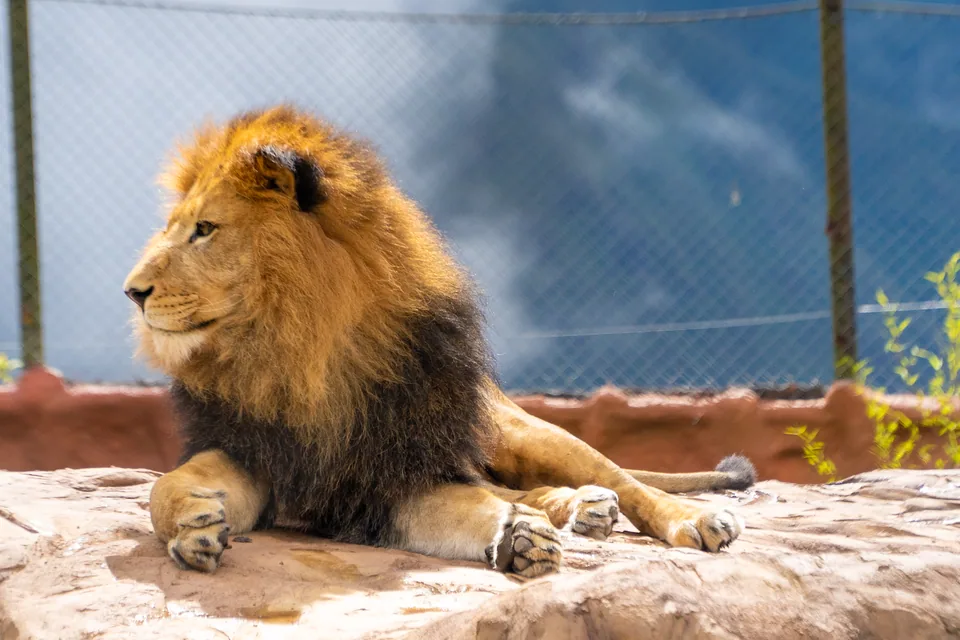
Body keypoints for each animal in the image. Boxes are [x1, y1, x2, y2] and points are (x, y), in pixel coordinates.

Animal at [123, 105, 755, 578]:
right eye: (176, 227)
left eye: (205, 230)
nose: (132, 291)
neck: (299, 358)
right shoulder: (252, 451)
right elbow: (163, 489)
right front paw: (192, 525)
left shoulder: (400, 471)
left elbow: (474, 504)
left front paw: (518, 538)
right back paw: (583, 509)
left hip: (517, 429)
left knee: (618, 478)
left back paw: (687, 517)